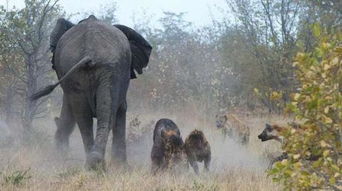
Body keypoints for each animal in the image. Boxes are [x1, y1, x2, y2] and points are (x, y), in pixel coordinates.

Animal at [31, 15, 152, 169]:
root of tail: (90, 52)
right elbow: (122, 109)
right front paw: (123, 168)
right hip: (111, 71)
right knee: (106, 115)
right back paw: (97, 164)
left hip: (81, 69)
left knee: (84, 117)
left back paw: (93, 164)